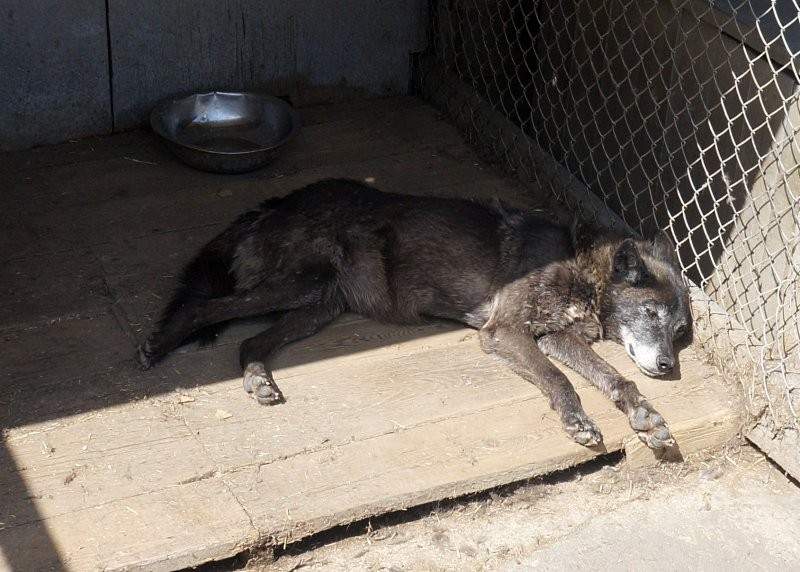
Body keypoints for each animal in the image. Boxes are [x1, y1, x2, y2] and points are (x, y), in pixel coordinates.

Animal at [138, 179, 691, 449]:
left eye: (681, 330)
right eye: (651, 313)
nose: (670, 367)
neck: (579, 264)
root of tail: (275, 202)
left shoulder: (555, 336)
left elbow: (614, 377)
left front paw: (646, 416)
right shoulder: (505, 332)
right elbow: (560, 381)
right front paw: (578, 422)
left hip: (317, 306)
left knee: (249, 342)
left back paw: (259, 380)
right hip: (294, 287)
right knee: (207, 306)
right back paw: (158, 343)